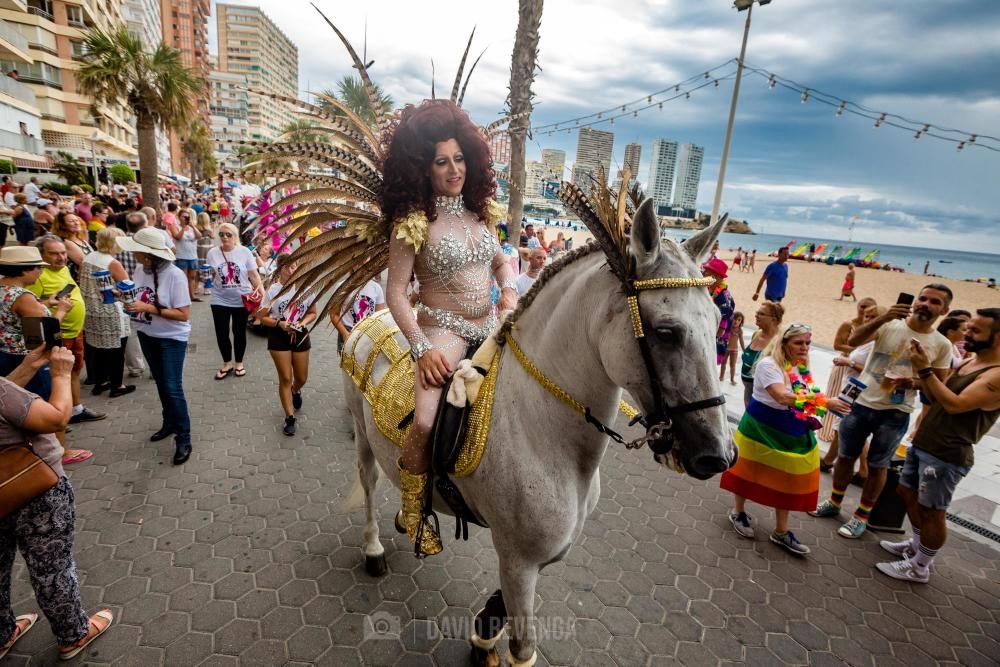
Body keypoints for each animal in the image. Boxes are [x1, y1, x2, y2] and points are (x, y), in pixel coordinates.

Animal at [344, 204, 736, 667]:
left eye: (717, 322)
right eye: (666, 332)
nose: (717, 454)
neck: (544, 430)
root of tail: (373, 314)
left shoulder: (541, 554)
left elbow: (502, 605)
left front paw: (483, 635)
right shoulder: (518, 558)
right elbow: (524, 646)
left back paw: (409, 515)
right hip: (361, 432)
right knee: (369, 481)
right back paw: (373, 549)